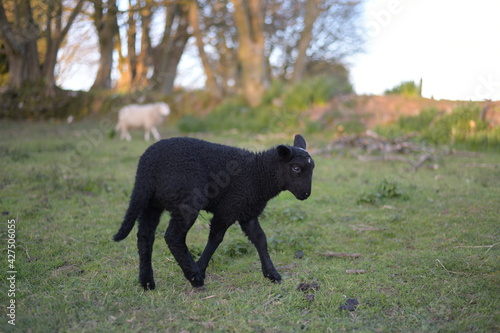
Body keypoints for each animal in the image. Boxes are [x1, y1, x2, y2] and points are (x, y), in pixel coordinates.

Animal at [115, 134, 314, 290]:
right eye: (296, 168)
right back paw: (194, 277)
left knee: (145, 237)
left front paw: (272, 274)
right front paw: (201, 267)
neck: (257, 175)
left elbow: (260, 239)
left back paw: (147, 282)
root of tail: (147, 165)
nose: (306, 194)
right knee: (173, 236)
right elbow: (215, 239)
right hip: (186, 201)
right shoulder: (228, 209)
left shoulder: (247, 212)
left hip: (151, 203)